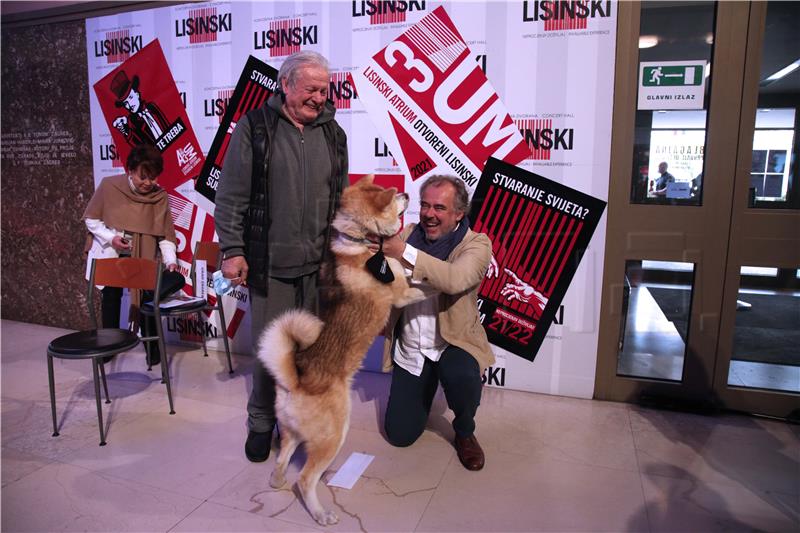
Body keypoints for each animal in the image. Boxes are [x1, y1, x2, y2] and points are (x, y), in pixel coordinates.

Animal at [260, 175, 428, 524]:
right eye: (394, 197)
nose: (408, 194)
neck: (364, 243)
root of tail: (296, 380)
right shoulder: (403, 295)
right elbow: (424, 287)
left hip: (293, 433)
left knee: (282, 460)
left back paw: (278, 480)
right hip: (334, 435)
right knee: (305, 479)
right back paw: (320, 513)